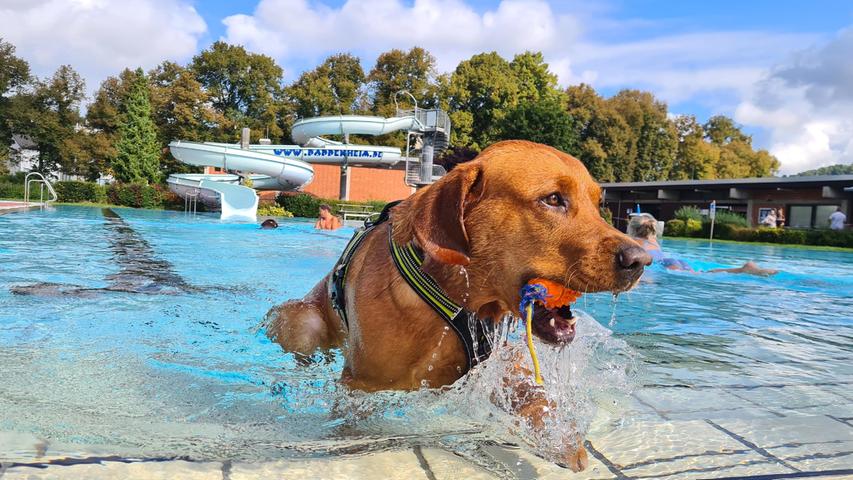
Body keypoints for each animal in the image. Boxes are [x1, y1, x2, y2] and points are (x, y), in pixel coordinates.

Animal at [262, 141, 648, 470]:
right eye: (553, 198)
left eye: (598, 204)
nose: (640, 260)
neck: (458, 298)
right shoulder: (361, 387)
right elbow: (351, 428)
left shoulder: (498, 360)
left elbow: (534, 397)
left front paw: (562, 439)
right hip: (300, 325)